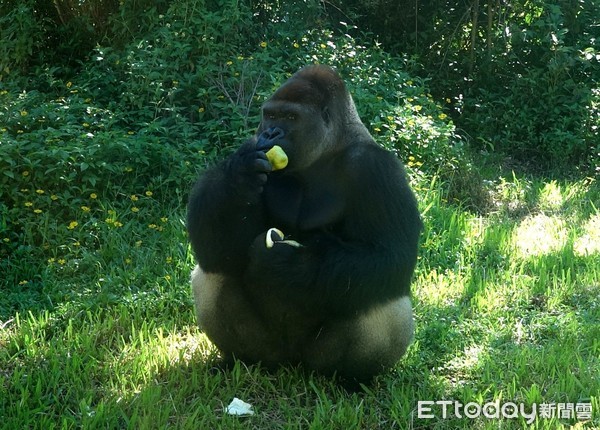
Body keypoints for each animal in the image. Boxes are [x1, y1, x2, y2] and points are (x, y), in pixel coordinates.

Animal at [188, 63, 422, 380]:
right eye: (270, 115)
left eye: (290, 117)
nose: (271, 132)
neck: (330, 148)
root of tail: (292, 365)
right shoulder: (253, 145)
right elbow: (222, 250)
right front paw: (238, 177)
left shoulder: (378, 169)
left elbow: (389, 256)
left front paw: (287, 264)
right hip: (270, 353)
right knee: (213, 274)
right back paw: (240, 359)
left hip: (317, 362)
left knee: (380, 296)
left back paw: (352, 380)